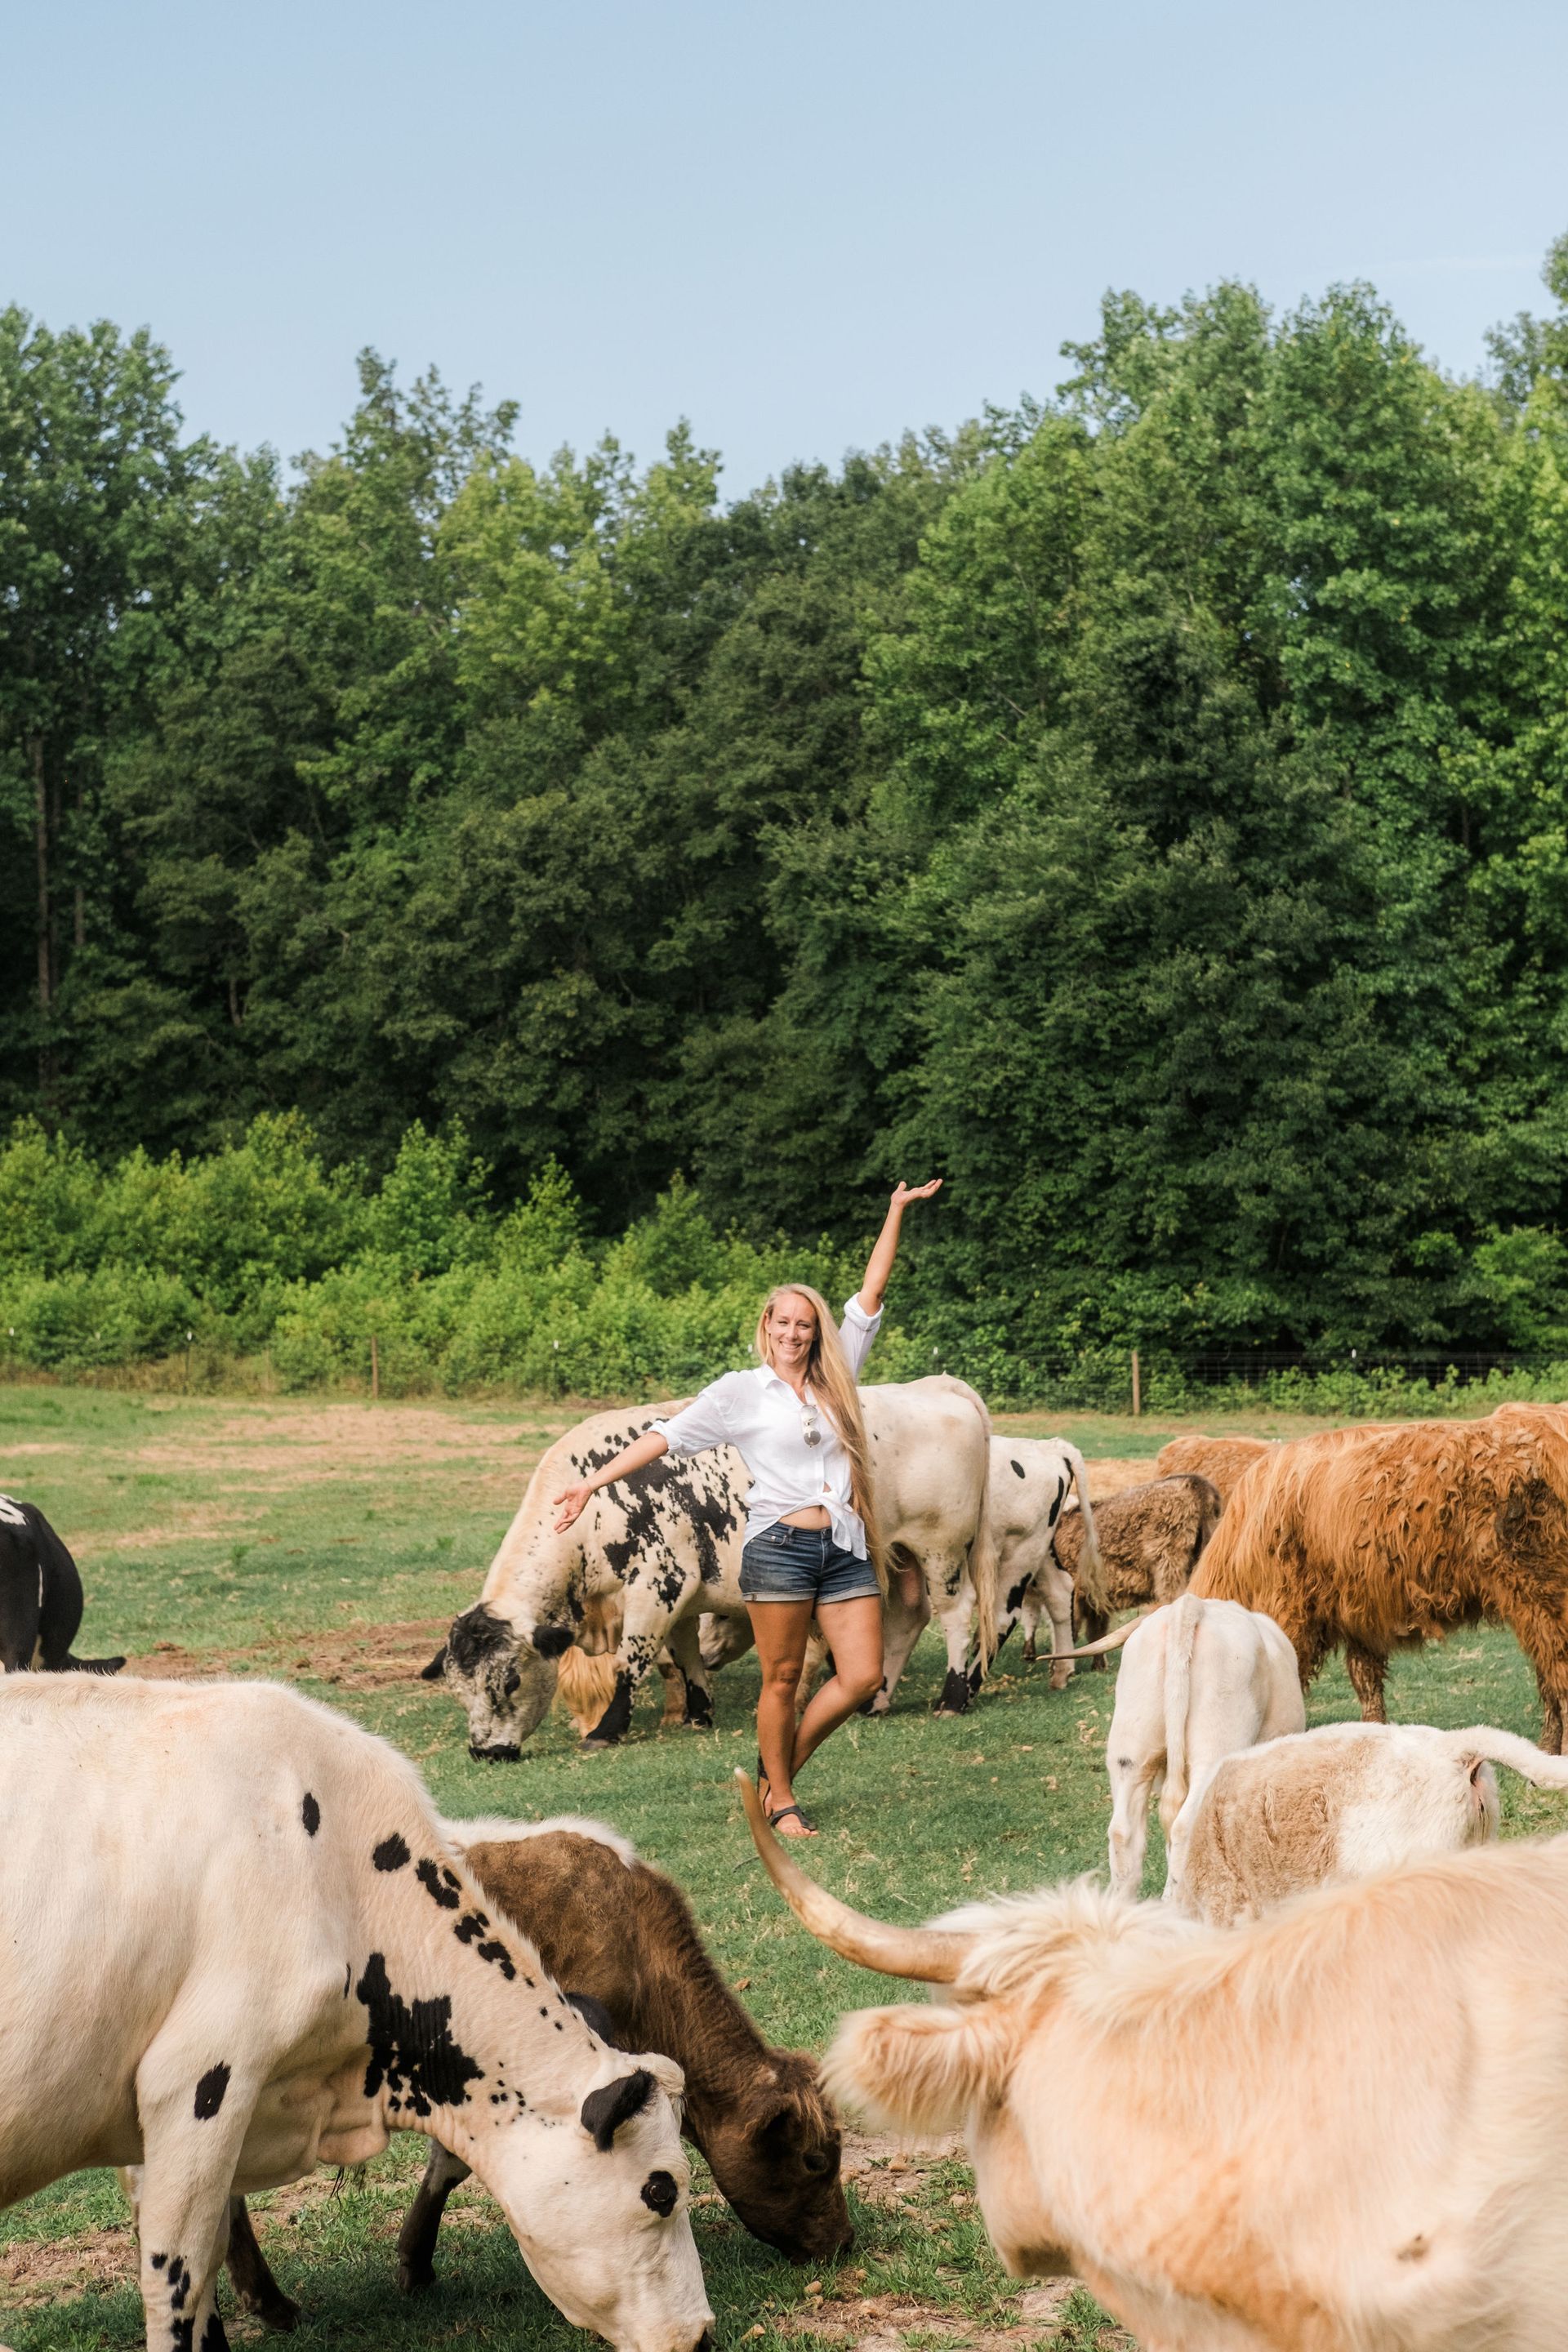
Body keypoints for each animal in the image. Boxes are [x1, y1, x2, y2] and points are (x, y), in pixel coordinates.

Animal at [424, 1377, 998, 1754]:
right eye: (457, 1689)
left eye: (509, 1682)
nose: (483, 1751)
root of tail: (938, 1386)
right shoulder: (681, 1596)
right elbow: (684, 1655)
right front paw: (698, 1712)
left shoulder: (656, 1587)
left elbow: (631, 1662)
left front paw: (608, 1729)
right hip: (897, 1554)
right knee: (906, 1617)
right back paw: (875, 1700)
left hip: (941, 1548)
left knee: (955, 1615)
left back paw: (952, 1696)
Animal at [1022, 1475, 1221, 1684]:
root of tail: (1196, 1484)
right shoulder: (1094, 1597)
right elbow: (1096, 1631)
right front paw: (1098, 1665)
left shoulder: (1073, 1592)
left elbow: (1068, 1627)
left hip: (1169, 1567)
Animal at [1192, 1410, 1568, 1749]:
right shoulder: (1359, 1616)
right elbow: (1367, 1683)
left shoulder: (1290, 1611)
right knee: (1548, 1674)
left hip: (1542, 1593)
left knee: (1558, 1672)